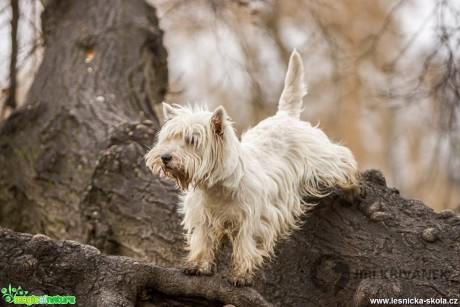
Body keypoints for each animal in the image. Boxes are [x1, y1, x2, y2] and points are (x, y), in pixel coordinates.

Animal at [146, 50, 362, 286]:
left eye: (192, 141)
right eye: (169, 139)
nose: (165, 157)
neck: (217, 187)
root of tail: (285, 116)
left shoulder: (252, 220)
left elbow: (245, 246)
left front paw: (240, 276)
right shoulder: (202, 216)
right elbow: (203, 241)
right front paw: (197, 266)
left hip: (320, 159)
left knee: (343, 158)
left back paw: (353, 188)